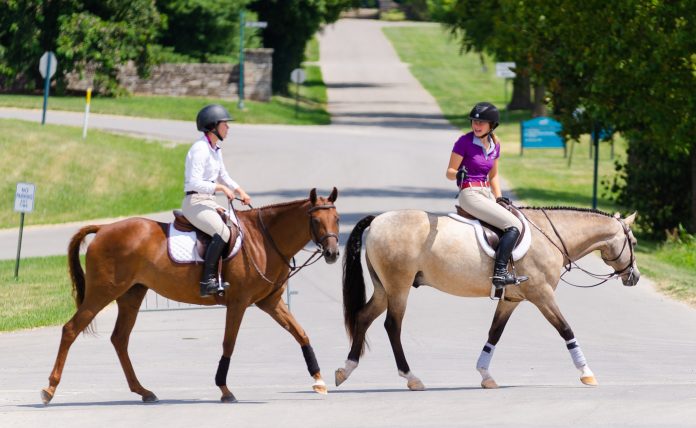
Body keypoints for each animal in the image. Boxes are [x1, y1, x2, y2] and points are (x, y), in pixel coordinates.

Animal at [41, 188, 340, 405]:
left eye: (337, 219)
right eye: (315, 220)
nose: (333, 253)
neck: (264, 239)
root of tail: (103, 229)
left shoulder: (270, 302)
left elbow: (301, 333)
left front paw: (319, 380)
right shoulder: (238, 303)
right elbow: (228, 344)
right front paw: (224, 389)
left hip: (131, 296)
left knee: (119, 339)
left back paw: (143, 391)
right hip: (103, 292)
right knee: (71, 329)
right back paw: (49, 389)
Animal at [335, 206, 639, 390]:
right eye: (634, 243)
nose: (634, 277)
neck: (550, 236)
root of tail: (378, 220)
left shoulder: (510, 300)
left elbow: (494, 334)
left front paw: (486, 376)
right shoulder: (542, 295)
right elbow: (566, 330)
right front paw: (587, 373)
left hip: (384, 289)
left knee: (363, 317)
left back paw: (345, 370)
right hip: (399, 288)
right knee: (392, 327)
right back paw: (411, 378)